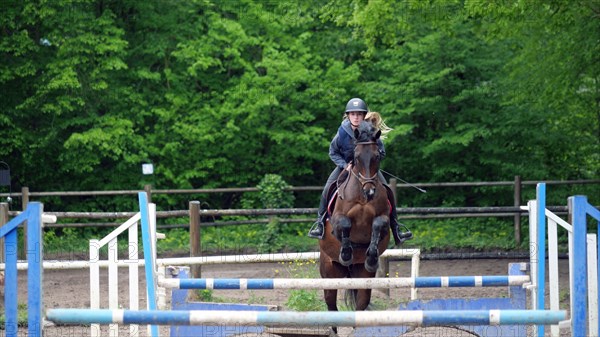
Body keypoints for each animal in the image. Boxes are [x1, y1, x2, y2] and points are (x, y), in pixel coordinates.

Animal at [316, 121, 392, 320]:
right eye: (356, 157)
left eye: (377, 156)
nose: (370, 192)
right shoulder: (336, 221)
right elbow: (345, 225)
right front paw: (346, 253)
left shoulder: (384, 219)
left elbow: (377, 225)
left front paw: (371, 256)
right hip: (329, 275)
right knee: (331, 307)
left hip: (362, 277)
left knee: (361, 305)